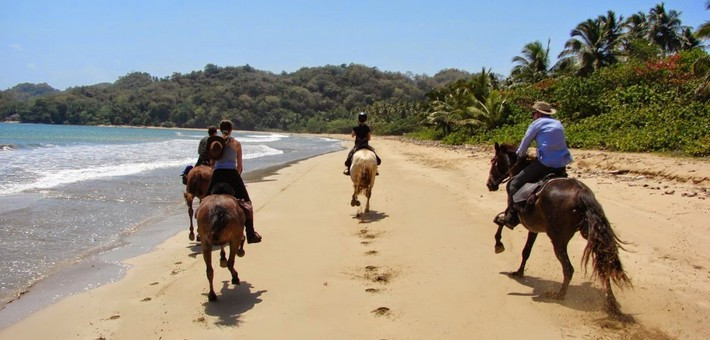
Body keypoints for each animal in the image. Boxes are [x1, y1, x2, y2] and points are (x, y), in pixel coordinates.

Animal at [486, 142, 632, 320]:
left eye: (494, 161)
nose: (489, 184)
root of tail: (581, 194)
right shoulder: (533, 228)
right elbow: (526, 251)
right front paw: (519, 272)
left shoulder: (513, 214)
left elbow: (500, 222)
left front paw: (498, 244)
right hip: (590, 234)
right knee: (604, 266)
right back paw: (610, 304)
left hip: (558, 238)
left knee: (569, 268)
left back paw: (559, 295)